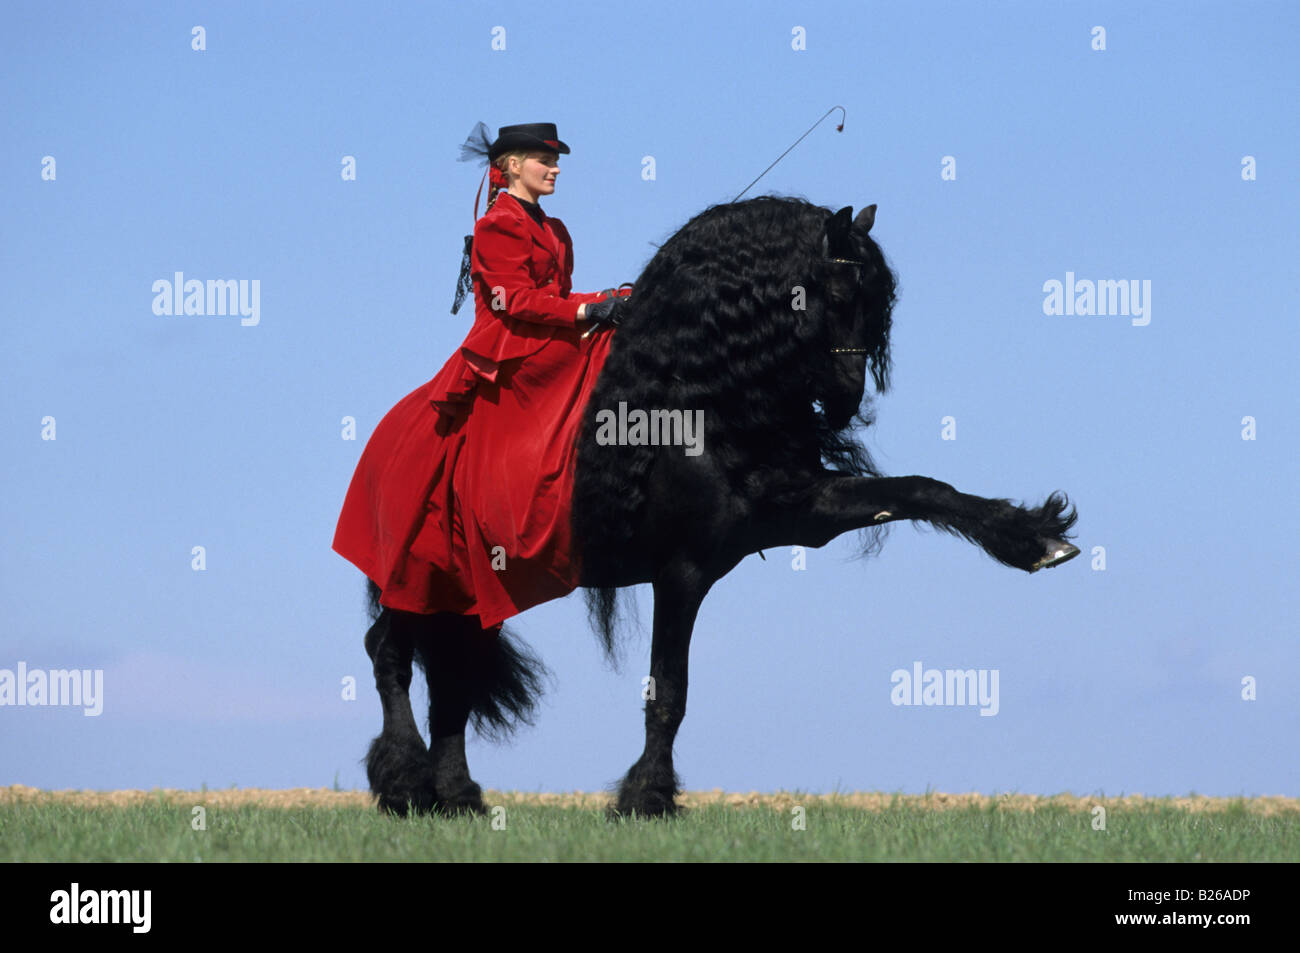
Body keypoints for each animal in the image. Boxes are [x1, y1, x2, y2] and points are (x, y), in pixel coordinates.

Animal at [359, 195, 1079, 819]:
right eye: (835, 293)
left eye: (879, 298)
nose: (846, 400)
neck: (694, 400)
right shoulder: (681, 570)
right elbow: (668, 693)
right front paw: (646, 798)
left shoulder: (799, 511)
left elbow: (921, 490)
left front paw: (1034, 538)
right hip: (419, 580)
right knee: (389, 653)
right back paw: (404, 783)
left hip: (471, 592)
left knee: (451, 675)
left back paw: (454, 796)